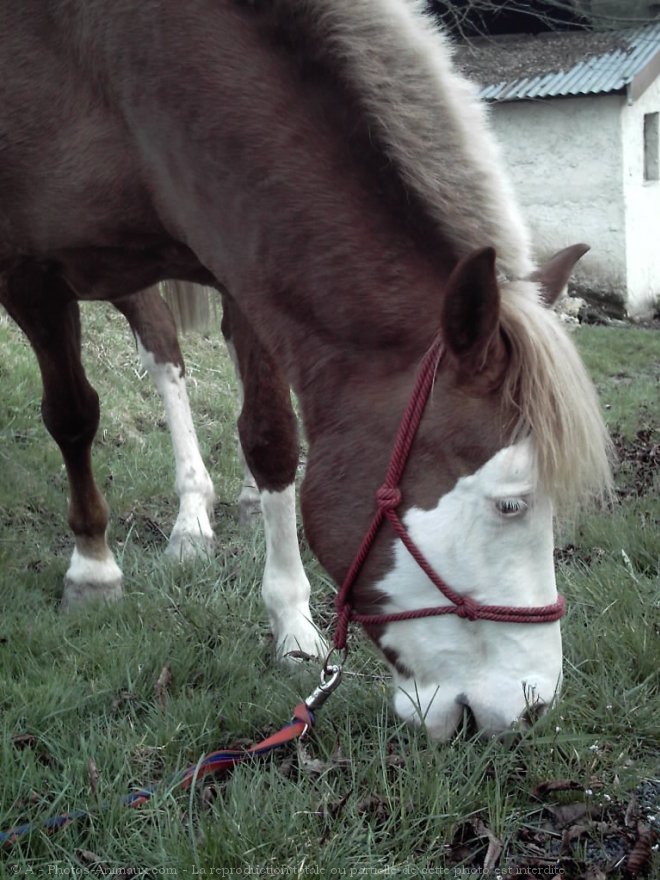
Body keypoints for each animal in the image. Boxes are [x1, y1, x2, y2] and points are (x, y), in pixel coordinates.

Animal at [0, 3, 612, 740]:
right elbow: (71, 416)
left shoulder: (239, 257)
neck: (119, 68)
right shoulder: (28, 274)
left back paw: (199, 512)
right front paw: (93, 568)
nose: (530, 708)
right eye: (510, 503)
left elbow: (271, 439)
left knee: (165, 351)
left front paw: (292, 624)